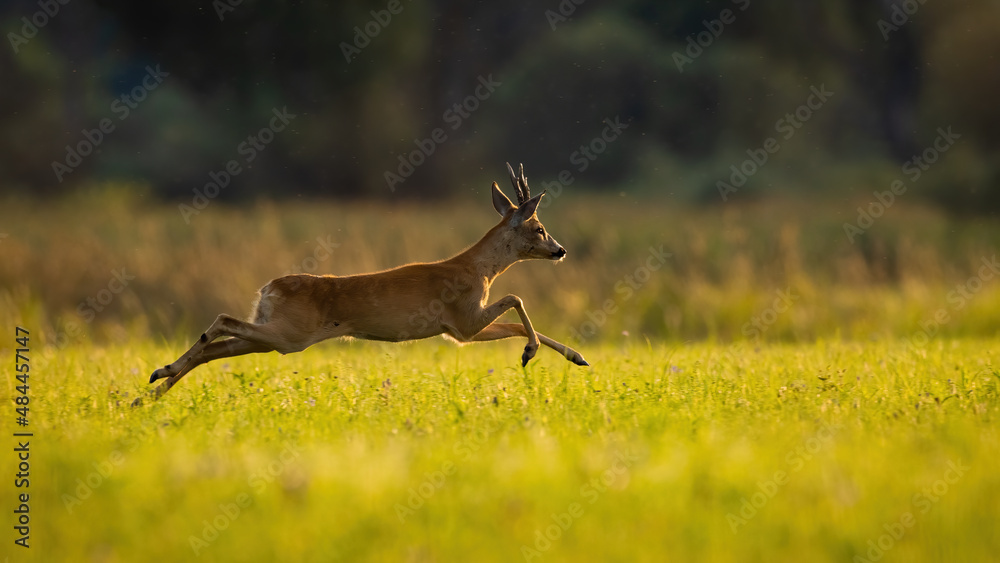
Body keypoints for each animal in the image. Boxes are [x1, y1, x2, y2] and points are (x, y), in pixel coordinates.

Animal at [133, 163, 584, 406]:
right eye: (539, 227)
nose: (560, 250)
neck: (478, 269)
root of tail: (268, 288)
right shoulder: (462, 322)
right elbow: (516, 298)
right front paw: (531, 353)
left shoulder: (461, 331)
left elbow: (515, 321)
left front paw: (576, 357)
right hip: (288, 334)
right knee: (222, 321)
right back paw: (158, 373)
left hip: (271, 335)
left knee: (215, 348)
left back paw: (148, 393)